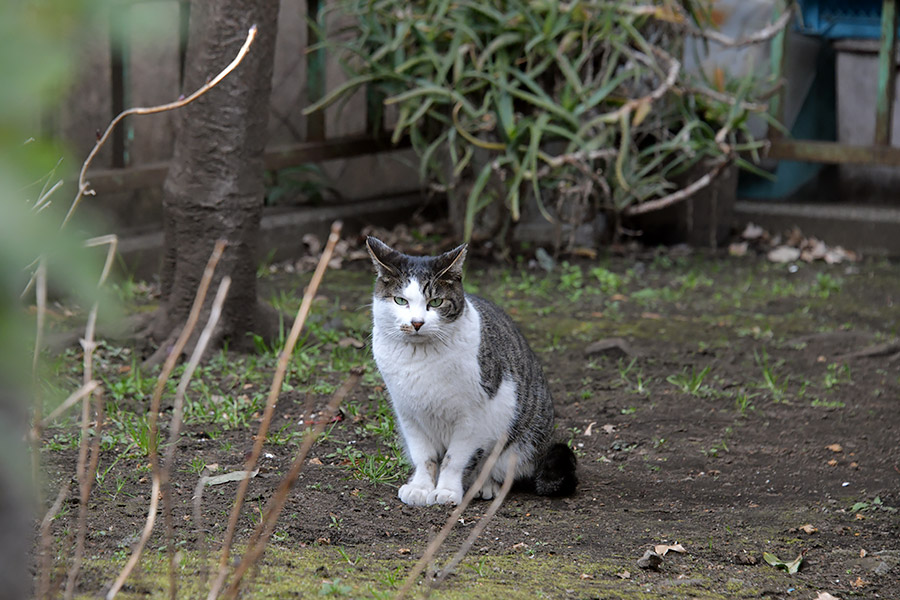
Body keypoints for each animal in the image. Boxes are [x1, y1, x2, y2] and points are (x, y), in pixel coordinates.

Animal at [366, 237, 576, 504]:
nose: (417, 323)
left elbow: (454, 460)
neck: (419, 358)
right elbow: (424, 456)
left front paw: (446, 491)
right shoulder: (408, 414)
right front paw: (421, 487)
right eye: (400, 301)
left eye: (435, 302)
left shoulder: (473, 418)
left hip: (519, 439)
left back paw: (485, 485)